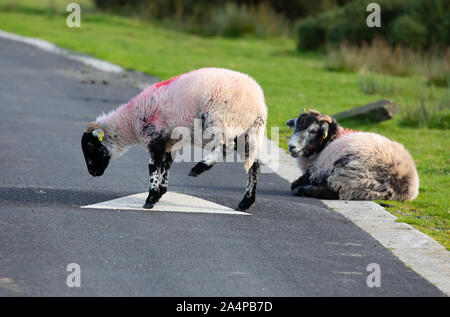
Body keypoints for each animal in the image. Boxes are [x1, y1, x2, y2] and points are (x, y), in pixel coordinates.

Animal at [81, 66, 268, 210]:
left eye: (90, 147)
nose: (93, 173)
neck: (130, 122)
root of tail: (258, 105)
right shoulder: (170, 142)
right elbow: (166, 165)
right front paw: (160, 193)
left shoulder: (155, 137)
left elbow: (153, 168)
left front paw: (150, 199)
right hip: (246, 134)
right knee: (254, 165)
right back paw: (246, 202)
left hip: (221, 119)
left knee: (225, 146)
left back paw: (199, 168)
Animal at [286, 109, 420, 200]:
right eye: (295, 126)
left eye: (313, 131)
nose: (291, 146)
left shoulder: (314, 171)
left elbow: (294, 184)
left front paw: (300, 186)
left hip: (346, 171)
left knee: (333, 192)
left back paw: (305, 189)